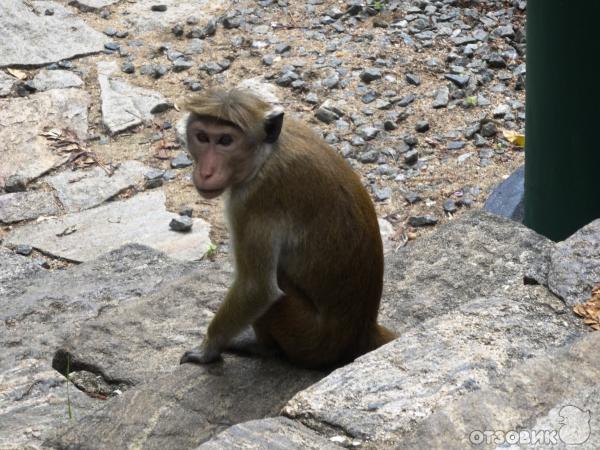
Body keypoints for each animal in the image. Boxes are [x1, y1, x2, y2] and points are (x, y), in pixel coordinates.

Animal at [177, 88, 394, 370]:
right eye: (202, 137)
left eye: (225, 140)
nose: (205, 172)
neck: (266, 154)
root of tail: (362, 332)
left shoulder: (254, 200)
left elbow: (256, 288)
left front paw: (207, 349)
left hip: (308, 338)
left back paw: (263, 347)